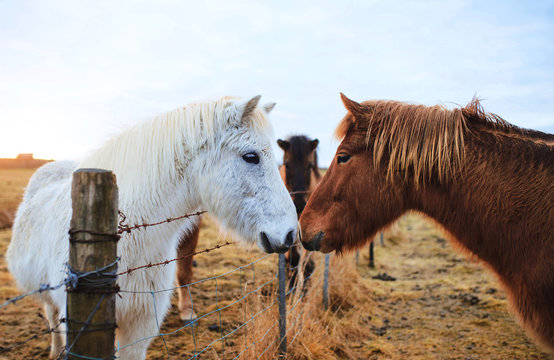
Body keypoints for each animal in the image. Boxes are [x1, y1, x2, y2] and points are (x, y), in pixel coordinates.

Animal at [276, 136, 320, 288]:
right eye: (287, 165)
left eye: (310, 166)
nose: (299, 204)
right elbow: (293, 259)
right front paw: (291, 286)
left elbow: (308, 264)